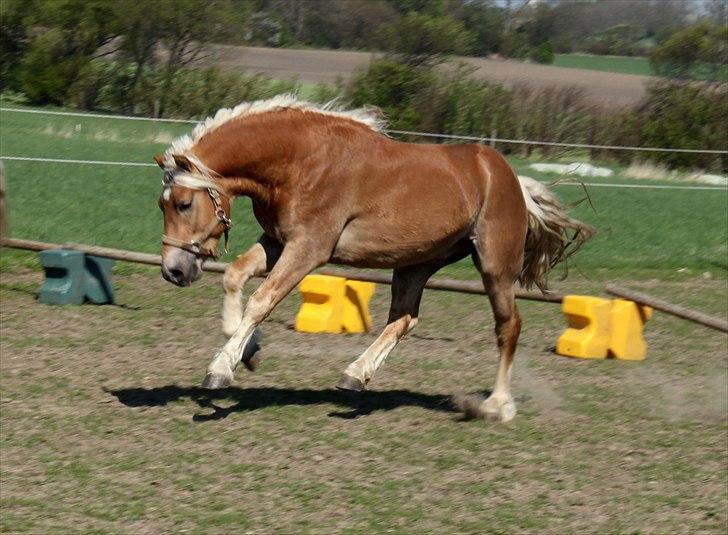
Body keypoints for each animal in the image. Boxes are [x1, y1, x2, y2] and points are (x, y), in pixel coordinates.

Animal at [156, 96, 596, 422]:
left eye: (182, 204)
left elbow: (262, 300)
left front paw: (219, 370)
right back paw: (354, 376)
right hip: (416, 263)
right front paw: (247, 351)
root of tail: (512, 179)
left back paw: (497, 405)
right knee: (403, 319)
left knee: (508, 326)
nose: (173, 270)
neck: (300, 161)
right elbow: (235, 277)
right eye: (163, 205)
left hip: (494, 268)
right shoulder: (279, 242)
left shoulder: (308, 248)